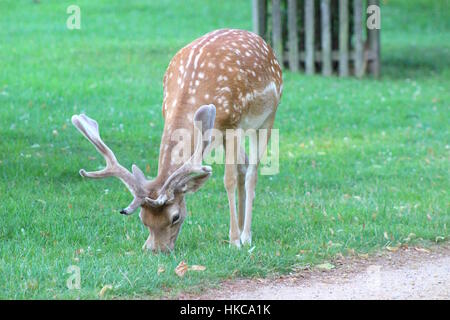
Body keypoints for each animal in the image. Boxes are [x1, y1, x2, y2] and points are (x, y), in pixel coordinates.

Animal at [70, 28, 282, 252]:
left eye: (175, 217)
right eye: (143, 219)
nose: (156, 250)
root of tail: (264, 44)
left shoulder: (234, 123)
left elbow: (228, 180)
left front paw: (234, 241)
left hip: (267, 117)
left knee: (252, 172)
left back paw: (246, 235)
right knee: (244, 164)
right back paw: (242, 228)